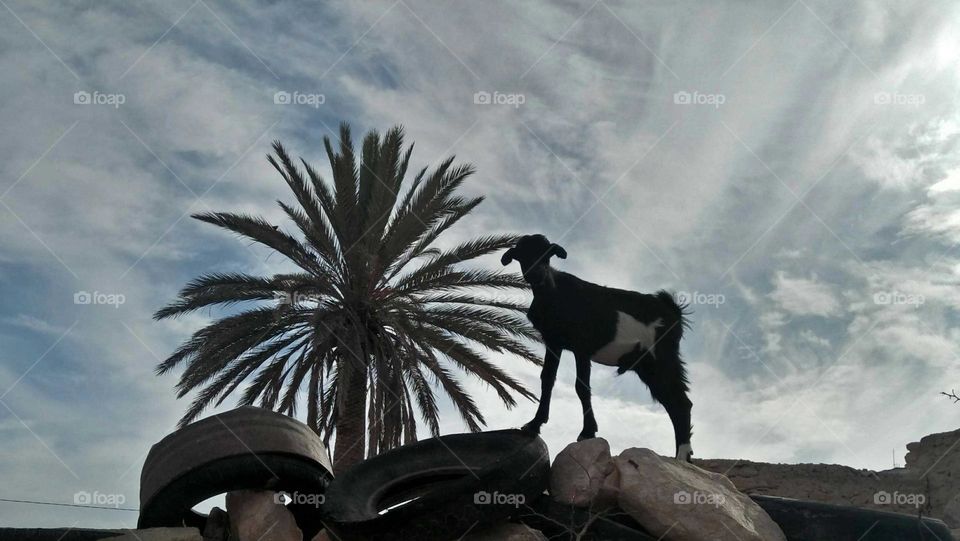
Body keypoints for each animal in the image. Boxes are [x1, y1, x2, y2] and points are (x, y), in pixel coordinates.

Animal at [498, 232, 692, 460]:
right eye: (522, 255)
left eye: (548, 255)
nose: (537, 273)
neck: (554, 293)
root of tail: (672, 310)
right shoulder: (554, 342)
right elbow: (547, 379)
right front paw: (534, 425)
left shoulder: (582, 346)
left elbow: (581, 386)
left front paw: (587, 432)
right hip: (647, 366)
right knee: (673, 402)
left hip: (662, 358)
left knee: (680, 402)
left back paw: (682, 456)